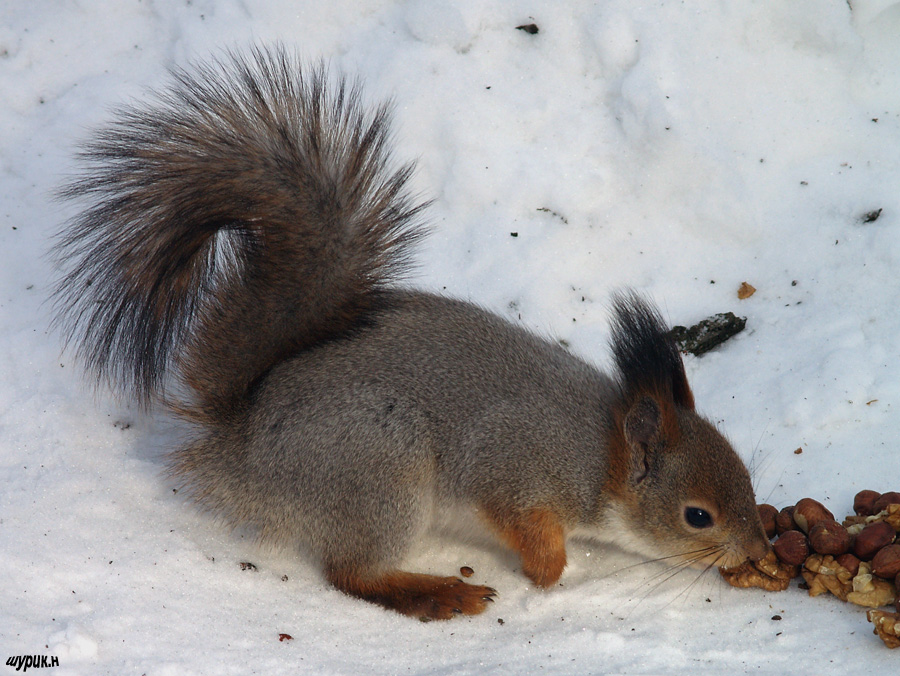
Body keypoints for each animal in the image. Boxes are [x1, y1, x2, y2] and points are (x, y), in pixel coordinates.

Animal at [51, 45, 768, 620]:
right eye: (697, 516)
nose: (757, 546)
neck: (602, 453)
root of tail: (241, 449)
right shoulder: (513, 466)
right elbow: (524, 525)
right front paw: (549, 572)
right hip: (380, 471)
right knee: (351, 573)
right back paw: (437, 592)